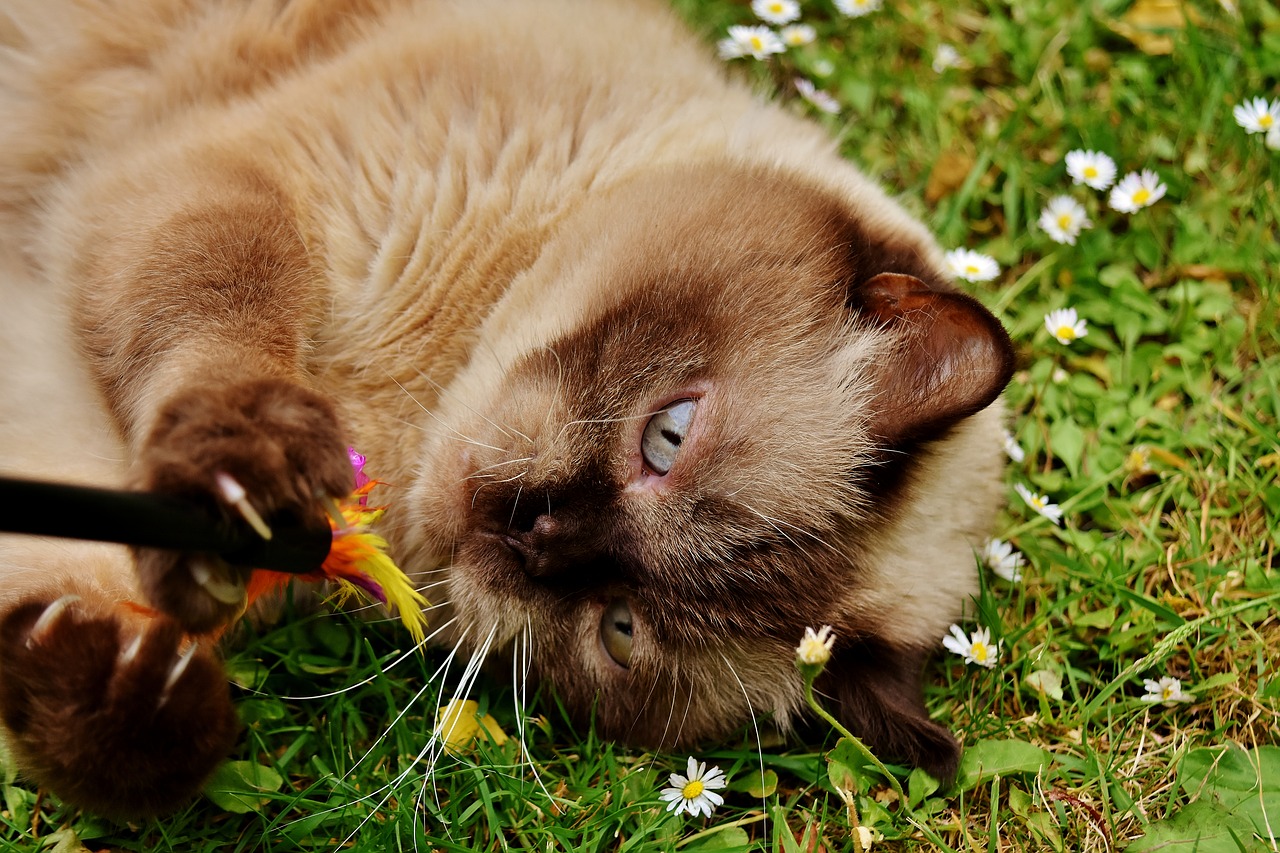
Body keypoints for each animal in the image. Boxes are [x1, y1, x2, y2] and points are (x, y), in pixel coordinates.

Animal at [2, 0, 1008, 819]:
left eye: (618, 629)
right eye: (669, 434)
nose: (528, 532)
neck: (395, 421)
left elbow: (77, 618)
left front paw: (131, 695)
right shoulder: (230, 194)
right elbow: (226, 324)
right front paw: (247, 486)